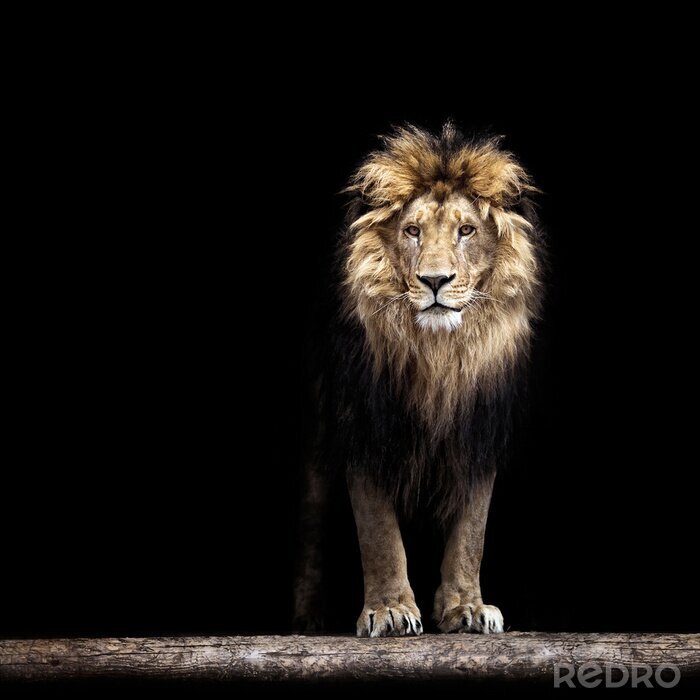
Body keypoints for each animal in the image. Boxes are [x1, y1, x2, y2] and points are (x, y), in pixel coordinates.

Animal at [294, 122, 543, 637]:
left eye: (466, 230)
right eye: (412, 231)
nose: (434, 280)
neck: (438, 356)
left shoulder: (478, 431)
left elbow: (472, 531)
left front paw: (467, 608)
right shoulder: (364, 424)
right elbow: (379, 532)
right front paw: (389, 610)